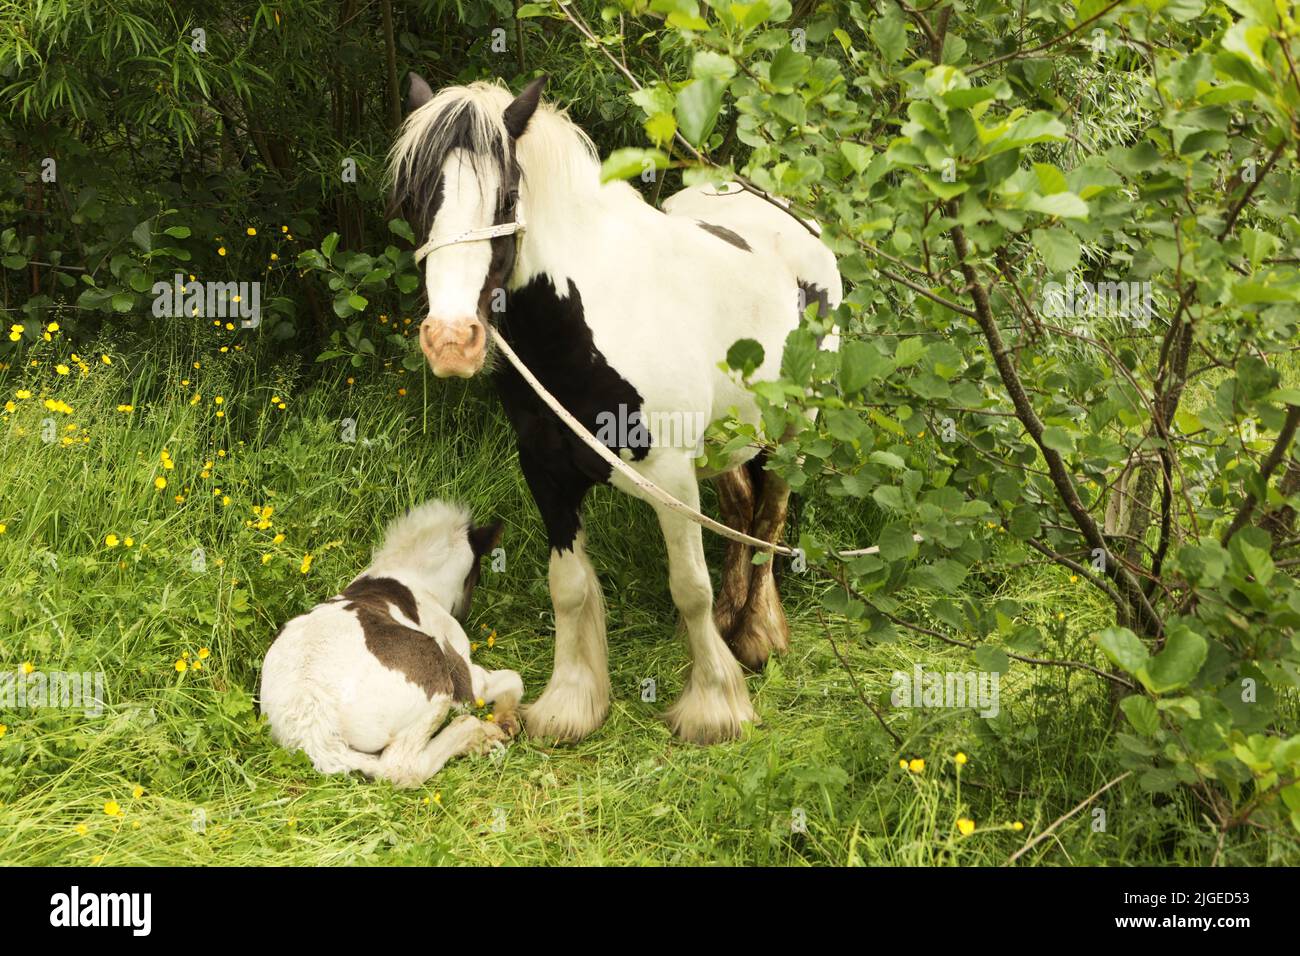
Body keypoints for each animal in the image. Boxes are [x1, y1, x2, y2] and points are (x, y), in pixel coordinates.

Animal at [388, 74, 842, 744]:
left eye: (506, 200)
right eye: (416, 200)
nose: (451, 341)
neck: (587, 323)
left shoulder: (670, 476)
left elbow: (690, 586)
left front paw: (714, 706)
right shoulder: (546, 472)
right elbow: (570, 588)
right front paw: (570, 705)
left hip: (792, 434)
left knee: (766, 524)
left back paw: (758, 636)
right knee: (740, 511)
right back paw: (732, 628)